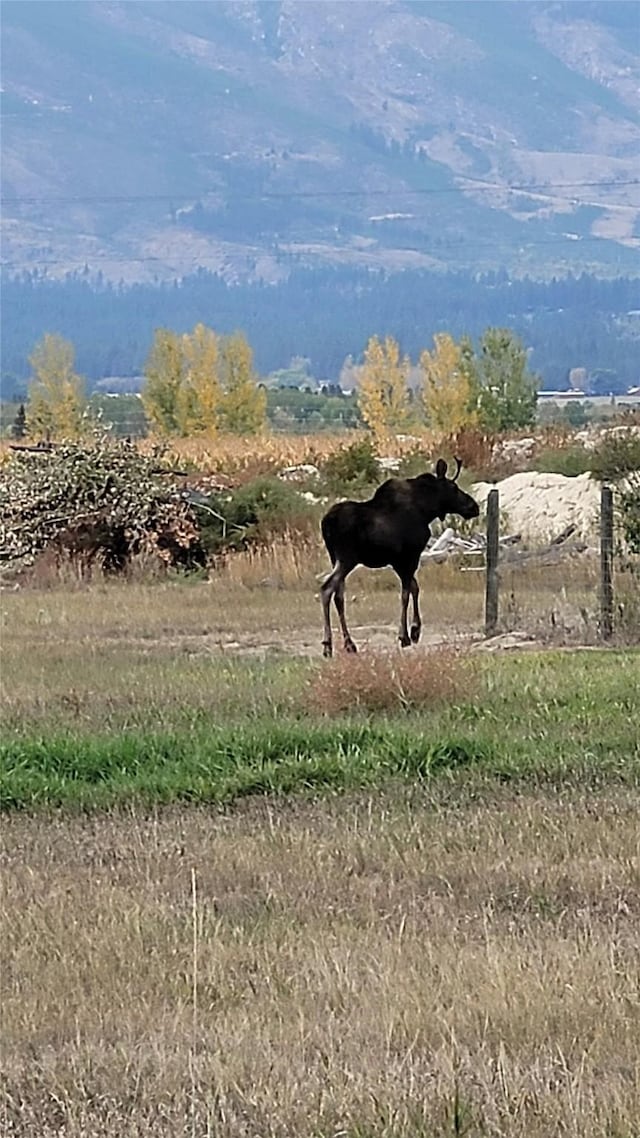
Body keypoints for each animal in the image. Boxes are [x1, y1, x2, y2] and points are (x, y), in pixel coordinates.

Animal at [318, 457, 478, 660]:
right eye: (454, 487)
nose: (474, 507)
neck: (426, 510)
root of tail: (326, 523)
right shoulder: (409, 556)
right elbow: (406, 593)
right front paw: (406, 635)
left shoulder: (398, 562)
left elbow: (414, 588)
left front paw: (415, 631)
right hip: (347, 559)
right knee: (327, 589)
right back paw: (327, 644)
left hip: (335, 558)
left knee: (339, 596)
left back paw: (349, 644)